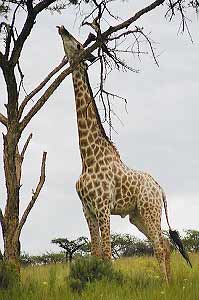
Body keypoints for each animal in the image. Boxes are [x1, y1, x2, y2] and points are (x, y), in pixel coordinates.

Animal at [57, 25, 191, 284]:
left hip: (150, 210)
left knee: (160, 246)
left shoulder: (102, 206)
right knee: (165, 244)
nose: (62, 29)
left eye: (78, 44)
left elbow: (108, 254)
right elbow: (96, 253)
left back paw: (166, 284)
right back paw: (167, 282)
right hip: (136, 216)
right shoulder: (87, 209)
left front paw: (108, 284)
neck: (87, 157)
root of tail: (159, 187)